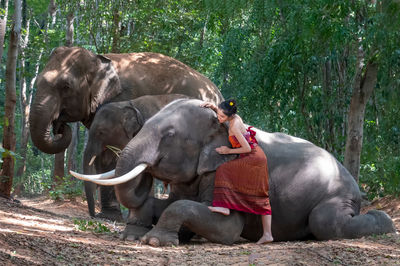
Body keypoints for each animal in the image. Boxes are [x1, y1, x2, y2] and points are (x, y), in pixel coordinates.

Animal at [71, 98, 394, 246]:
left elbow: (227, 226)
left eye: (170, 135)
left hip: (336, 196)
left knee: (326, 221)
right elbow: (173, 201)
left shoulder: (226, 171)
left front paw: (155, 241)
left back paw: (386, 222)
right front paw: (133, 236)